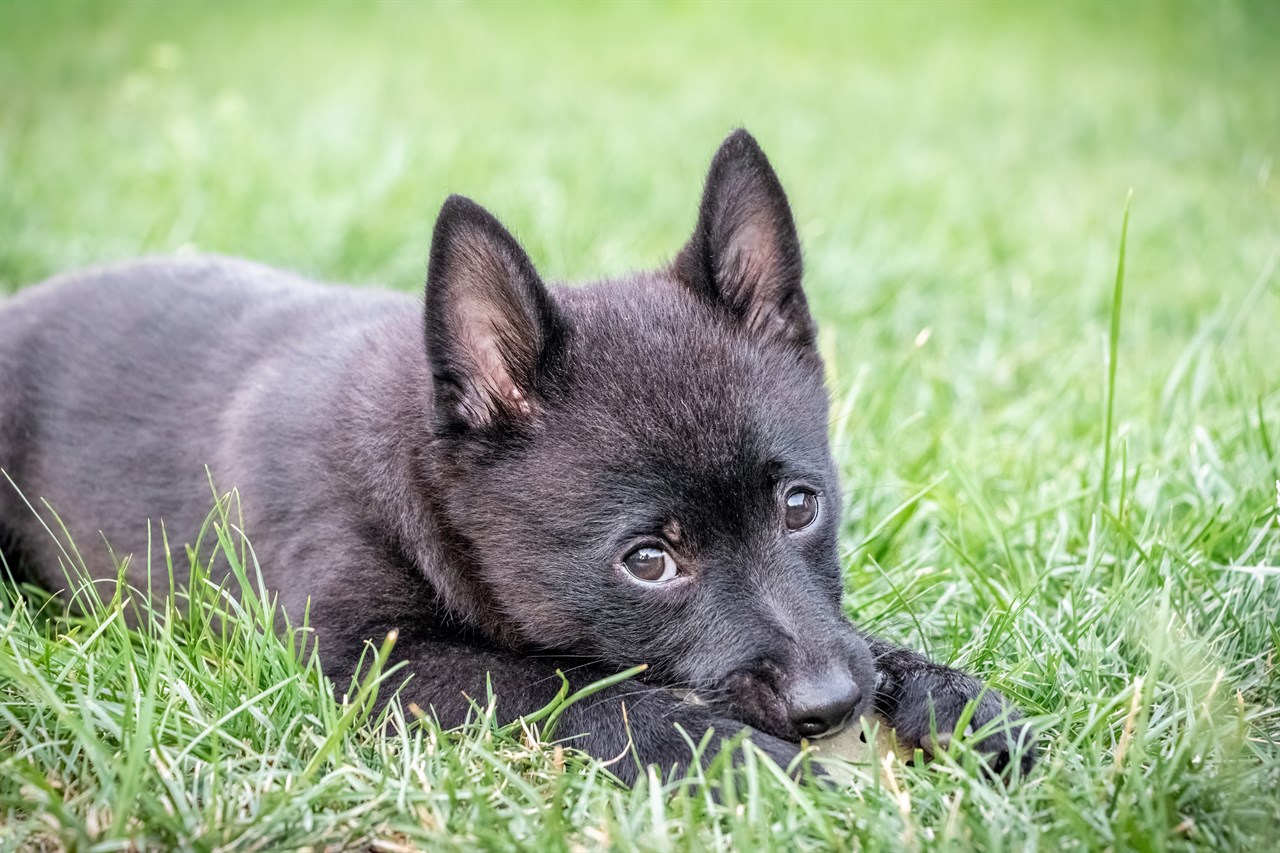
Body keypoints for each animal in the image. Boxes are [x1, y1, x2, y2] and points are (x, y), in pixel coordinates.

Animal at [0, 129, 1029, 778]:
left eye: (800, 506)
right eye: (648, 560)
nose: (833, 704)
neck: (416, 478)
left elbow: (873, 638)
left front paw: (955, 702)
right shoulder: (359, 658)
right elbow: (560, 682)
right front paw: (727, 755)